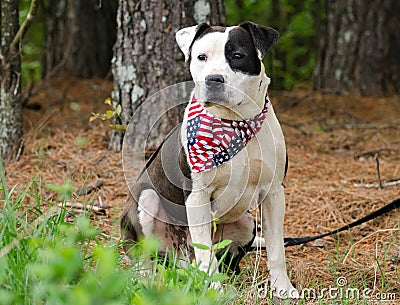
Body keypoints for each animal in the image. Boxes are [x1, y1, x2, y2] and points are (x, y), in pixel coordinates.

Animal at [120, 20, 298, 300]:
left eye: (237, 56)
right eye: (201, 57)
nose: (213, 79)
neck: (233, 122)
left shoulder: (273, 194)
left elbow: (276, 248)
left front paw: (283, 288)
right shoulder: (197, 196)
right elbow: (205, 252)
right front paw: (213, 289)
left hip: (247, 222)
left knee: (225, 259)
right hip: (145, 202)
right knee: (146, 257)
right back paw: (147, 278)